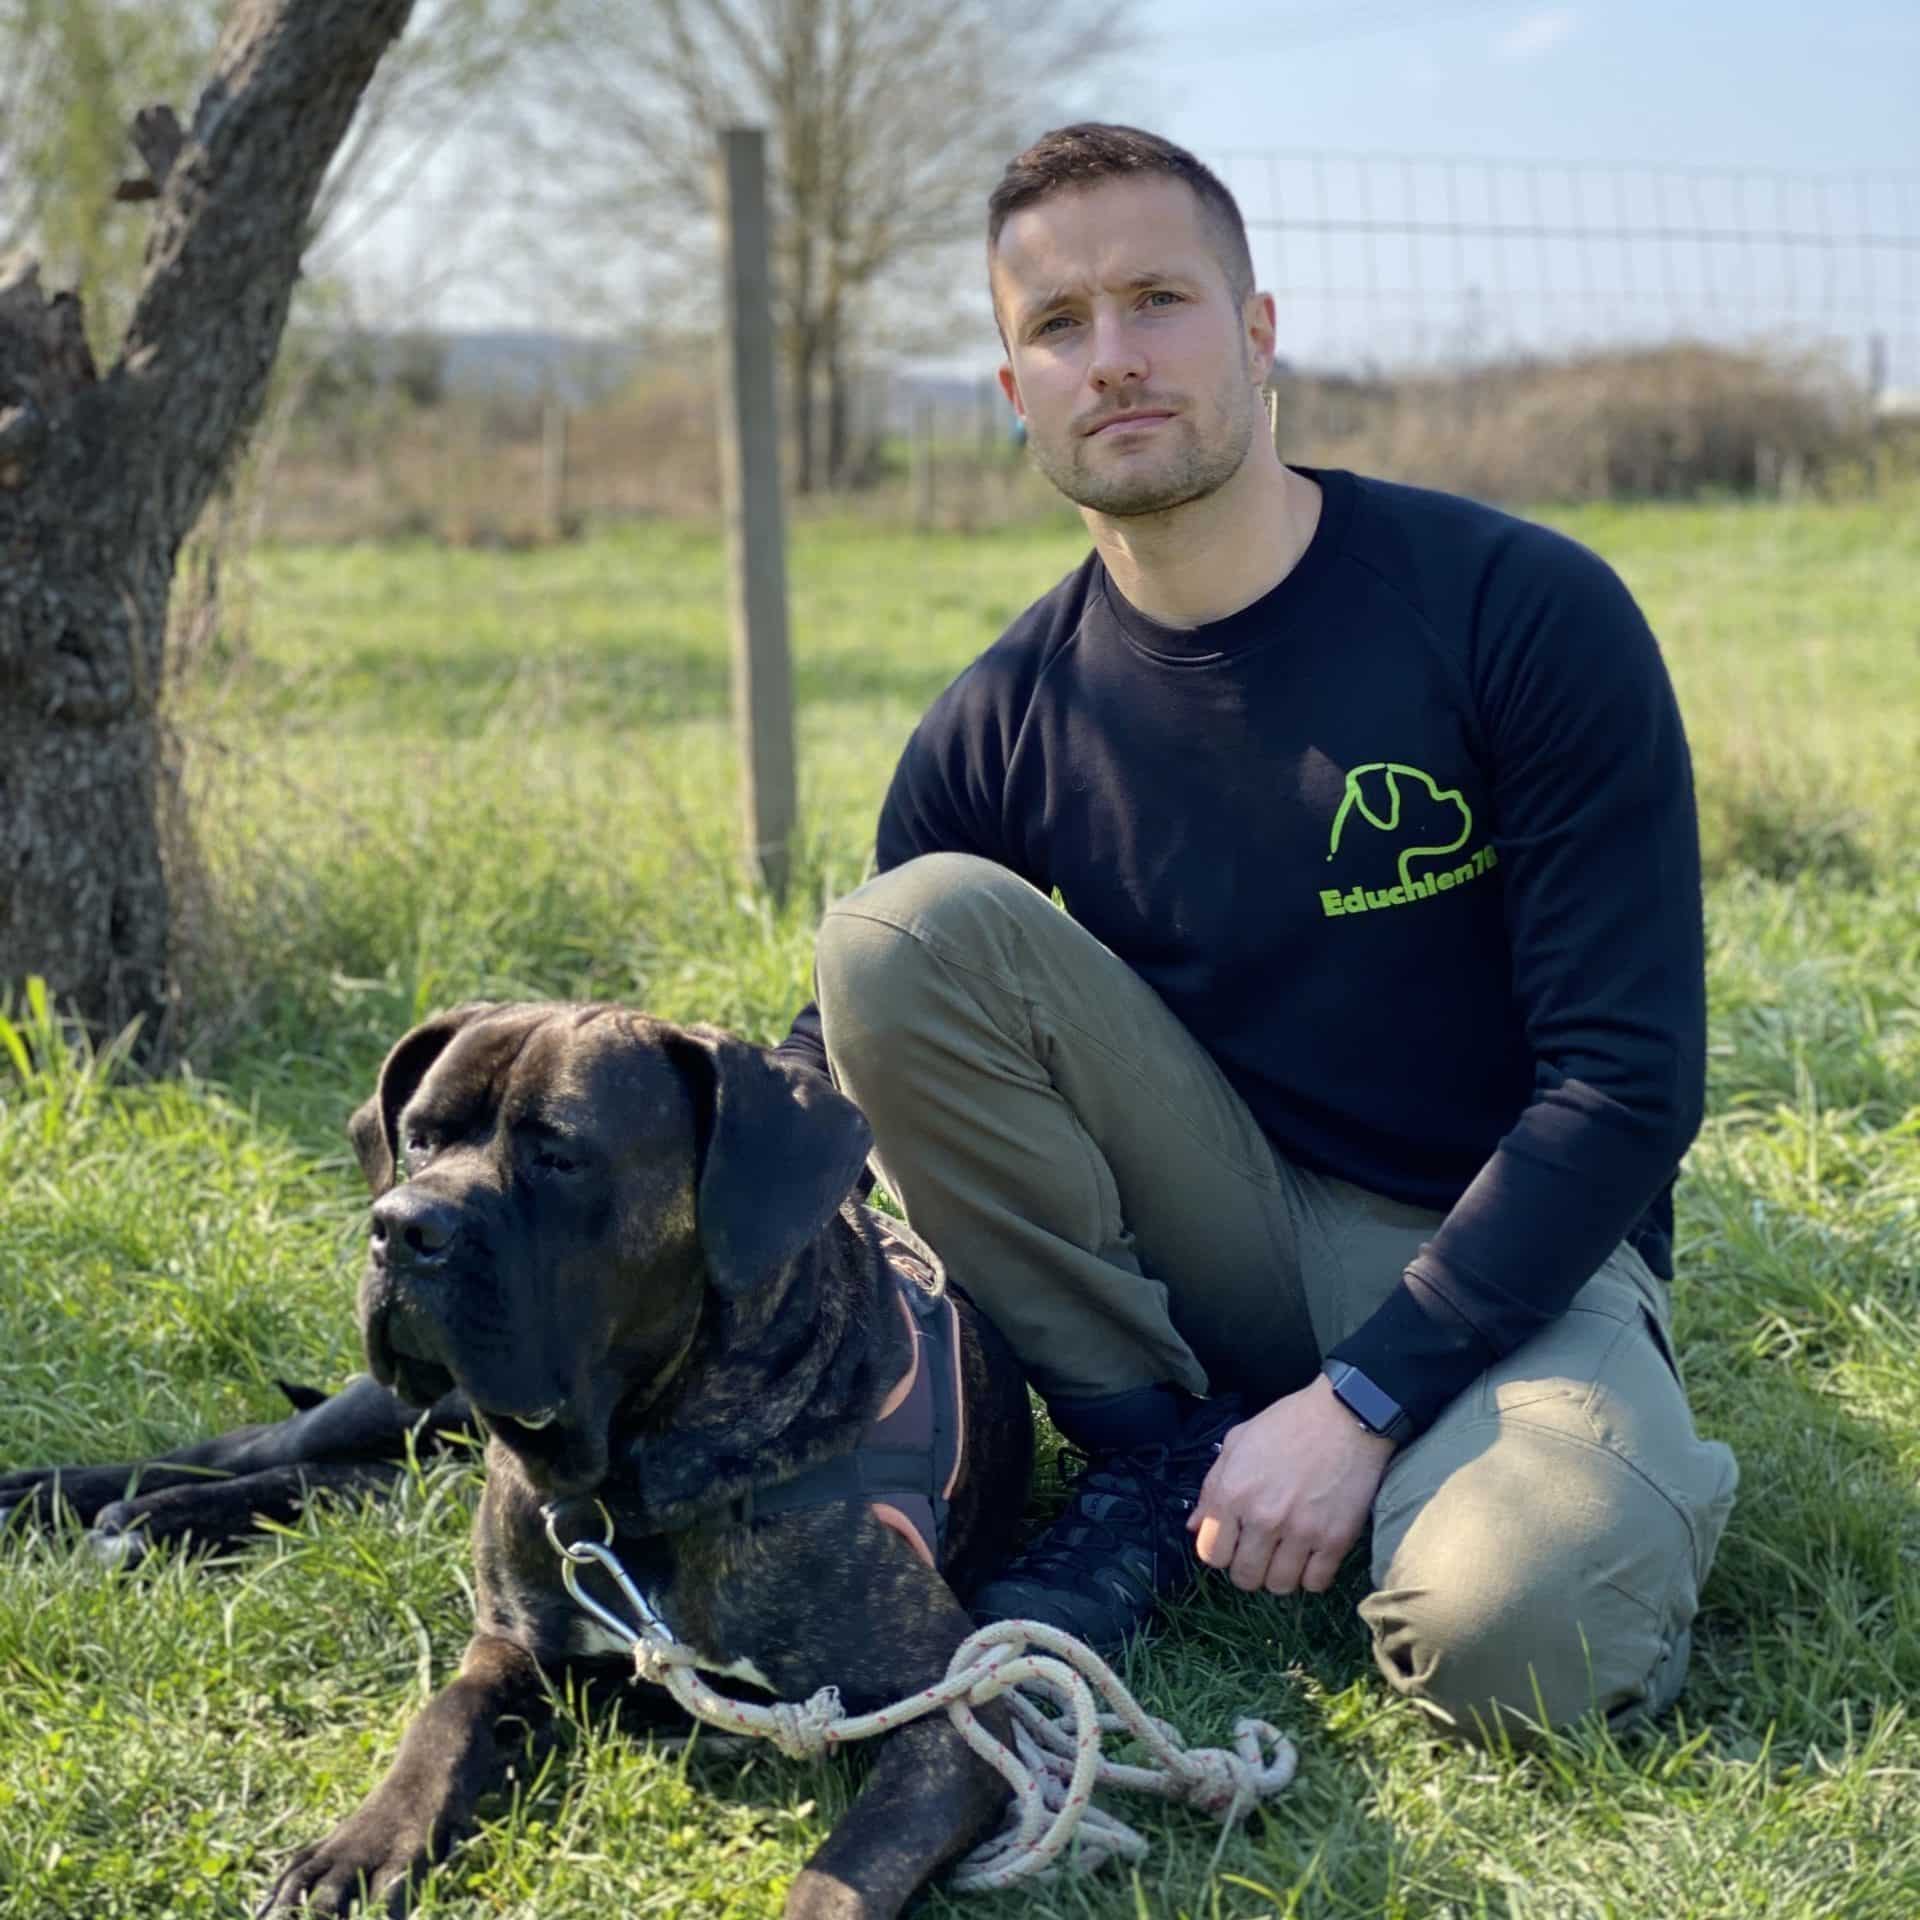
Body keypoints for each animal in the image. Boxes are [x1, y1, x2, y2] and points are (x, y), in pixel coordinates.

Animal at [0, 1006, 1036, 1920]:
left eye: (561, 1156)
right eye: (419, 1139)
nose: (401, 1225)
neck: (625, 1476)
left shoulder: (958, 1707)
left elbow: (843, 1874)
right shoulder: (511, 1640)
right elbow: (440, 1723)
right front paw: (360, 1846)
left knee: (331, 1482)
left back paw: (141, 1526)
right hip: (398, 1409)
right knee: (248, 1449)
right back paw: (58, 1500)